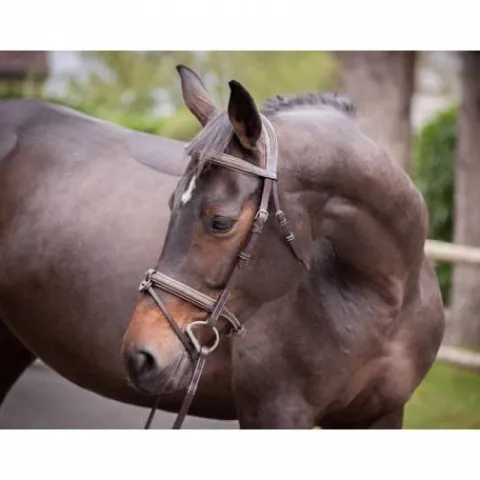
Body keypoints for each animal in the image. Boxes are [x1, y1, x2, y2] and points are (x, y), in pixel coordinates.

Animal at [0, 65, 445, 429]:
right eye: (171, 203)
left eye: (220, 222)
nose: (140, 356)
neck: (385, 297)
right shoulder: (275, 412)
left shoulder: (382, 415)